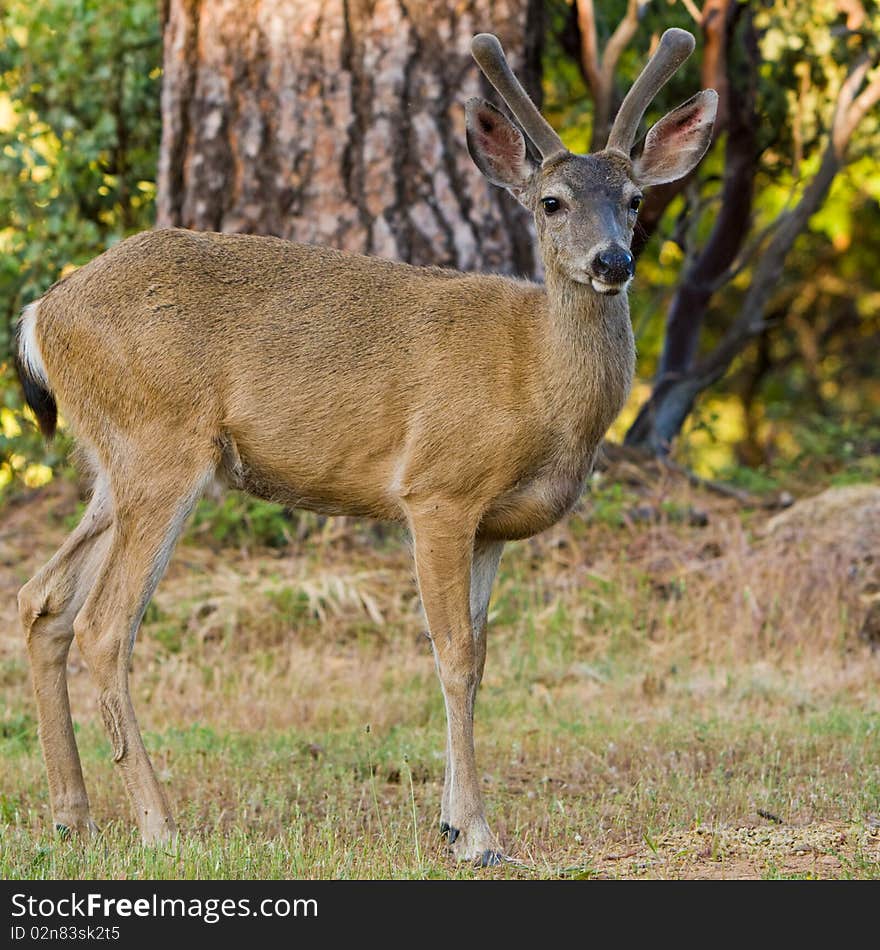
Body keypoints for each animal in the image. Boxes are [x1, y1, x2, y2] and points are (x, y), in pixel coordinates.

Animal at [15, 29, 716, 868]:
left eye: (635, 200)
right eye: (552, 202)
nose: (613, 262)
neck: (536, 379)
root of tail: (42, 313)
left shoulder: (493, 528)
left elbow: (480, 657)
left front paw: (450, 821)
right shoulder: (438, 488)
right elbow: (455, 653)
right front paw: (477, 836)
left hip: (112, 461)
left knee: (43, 600)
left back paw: (73, 818)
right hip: (160, 446)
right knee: (104, 624)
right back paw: (160, 828)